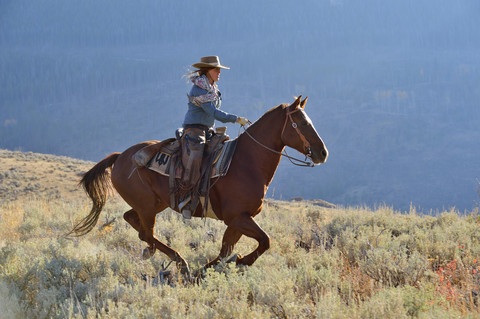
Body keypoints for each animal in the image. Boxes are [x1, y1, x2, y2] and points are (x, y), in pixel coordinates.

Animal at [69, 96, 328, 278]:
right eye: (300, 123)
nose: (322, 153)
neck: (247, 162)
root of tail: (120, 156)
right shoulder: (238, 217)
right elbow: (264, 241)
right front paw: (240, 261)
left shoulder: (238, 220)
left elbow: (225, 250)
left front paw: (206, 270)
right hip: (147, 205)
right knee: (146, 233)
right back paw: (177, 261)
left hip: (155, 204)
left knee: (133, 221)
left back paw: (168, 258)